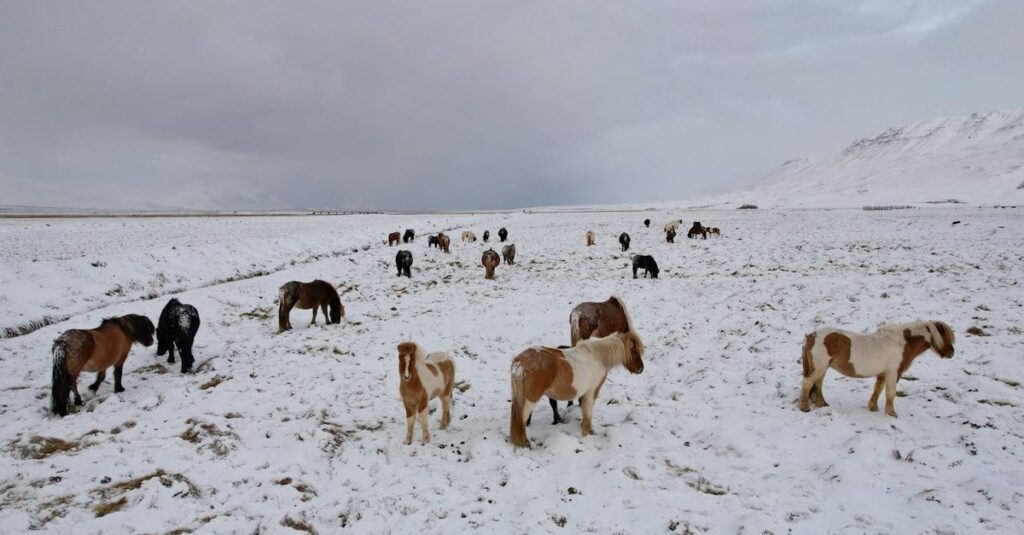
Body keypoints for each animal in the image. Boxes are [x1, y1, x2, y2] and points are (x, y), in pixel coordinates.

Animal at [509, 331, 645, 447]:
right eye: (634, 351)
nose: (641, 369)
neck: (598, 357)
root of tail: (519, 363)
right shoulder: (591, 393)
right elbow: (588, 412)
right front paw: (587, 432)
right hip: (529, 400)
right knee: (521, 419)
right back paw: (524, 442)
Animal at [800, 321, 955, 417]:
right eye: (945, 336)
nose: (951, 353)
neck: (902, 344)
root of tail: (811, 336)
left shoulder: (882, 374)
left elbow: (878, 390)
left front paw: (873, 408)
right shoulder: (893, 374)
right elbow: (890, 393)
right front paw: (891, 413)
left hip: (822, 368)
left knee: (817, 385)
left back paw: (822, 404)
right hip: (819, 367)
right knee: (808, 383)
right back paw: (804, 408)